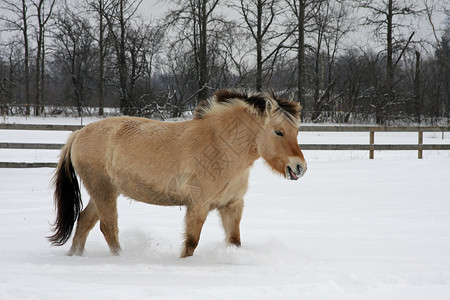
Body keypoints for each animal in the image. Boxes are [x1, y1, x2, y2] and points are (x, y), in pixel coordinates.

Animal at [49, 88, 308, 258]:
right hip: (103, 191)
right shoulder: (198, 205)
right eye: (278, 132)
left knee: (84, 222)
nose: (300, 167)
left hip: (104, 192)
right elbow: (191, 242)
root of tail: (78, 134)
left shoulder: (232, 205)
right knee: (108, 228)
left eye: (296, 131)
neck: (220, 146)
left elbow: (234, 241)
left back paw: (75, 257)